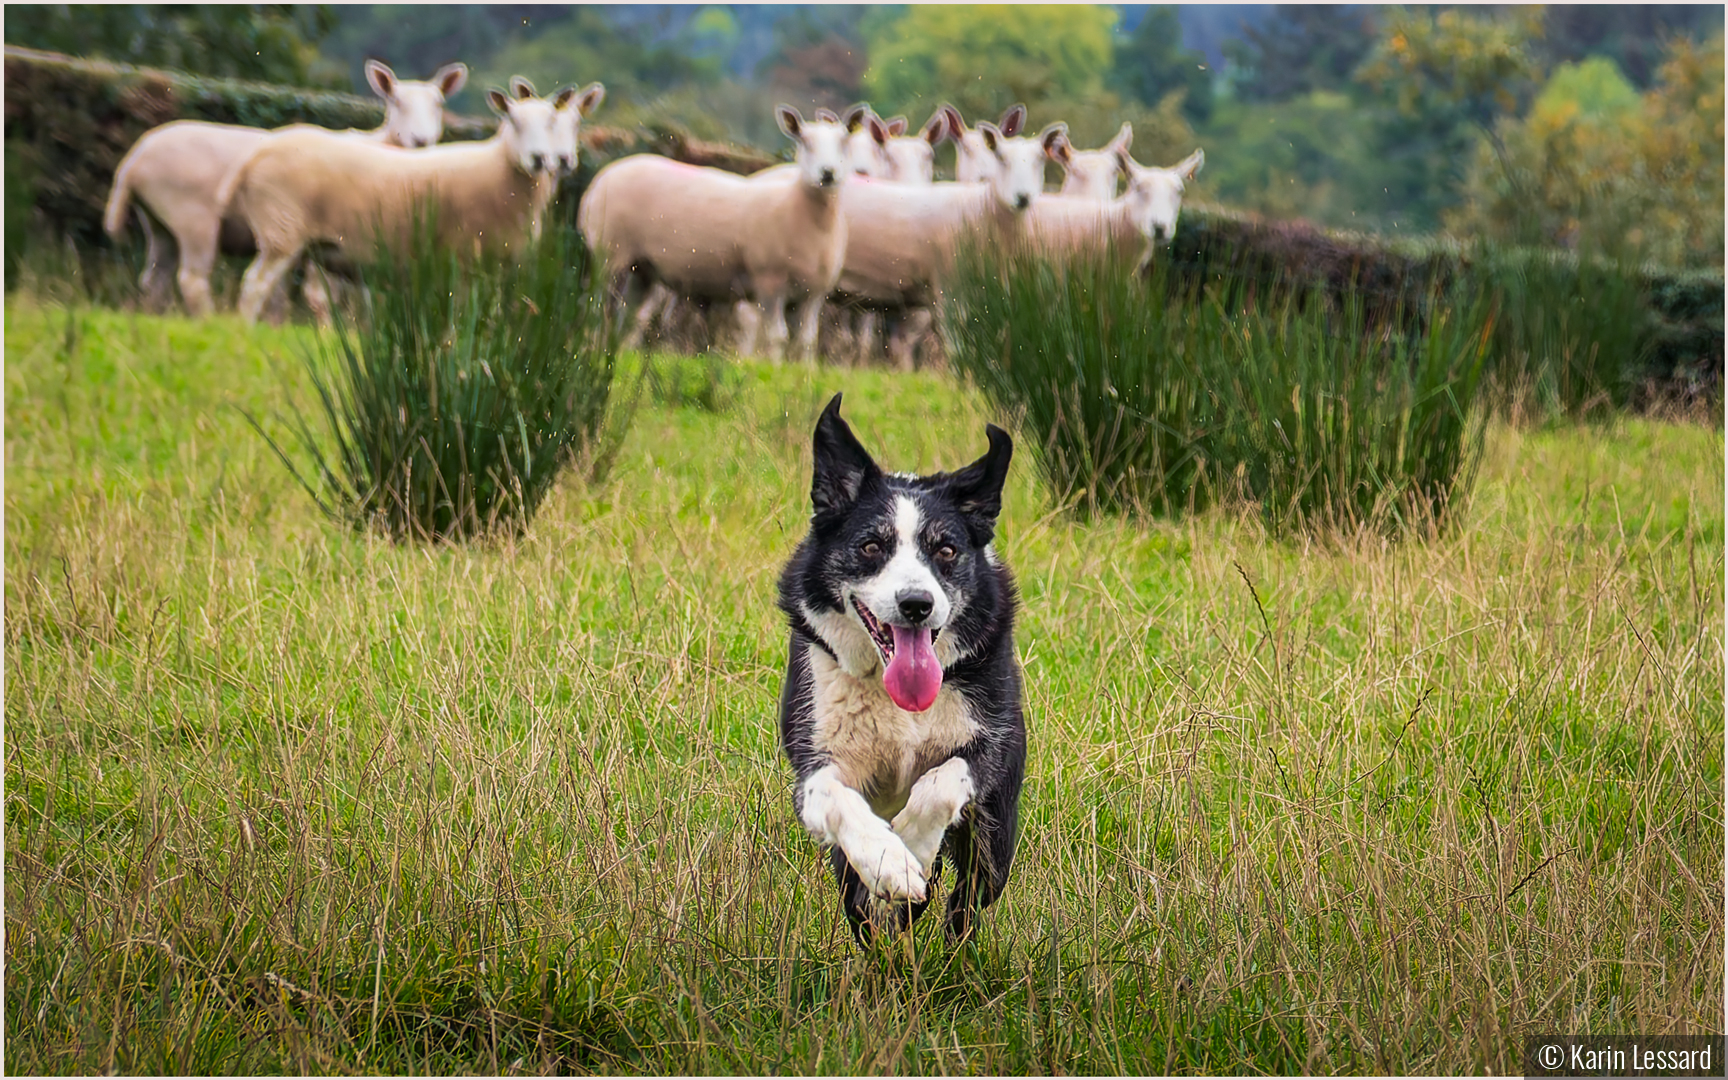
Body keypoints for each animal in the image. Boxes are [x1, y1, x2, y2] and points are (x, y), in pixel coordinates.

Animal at [102, 60, 469, 318]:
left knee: (155, 279)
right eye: (395, 101)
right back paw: (208, 322)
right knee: (192, 280)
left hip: (159, 222)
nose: (421, 140)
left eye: (439, 104)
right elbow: (322, 297)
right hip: (193, 218)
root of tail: (132, 162)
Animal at [220, 82, 603, 326]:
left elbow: (490, 311)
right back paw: (244, 333)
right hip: (281, 232)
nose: (541, 159)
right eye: (514, 121)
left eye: (553, 122)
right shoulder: (464, 256)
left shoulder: (497, 263)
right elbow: (464, 311)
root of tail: (255, 156)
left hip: (290, 238)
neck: (501, 169)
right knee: (254, 286)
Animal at [580, 105, 852, 363]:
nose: (827, 173)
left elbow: (807, 341)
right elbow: (777, 337)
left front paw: (804, 374)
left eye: (844, 142)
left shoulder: (814, 293)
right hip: (610, 255)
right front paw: (773, 370)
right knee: (598, 307)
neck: (797, 206)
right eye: (805, 142)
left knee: (630, 315)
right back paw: (593, 347)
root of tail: (599, 181)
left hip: (643, 268)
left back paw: (618, 351)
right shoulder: (769, 283)